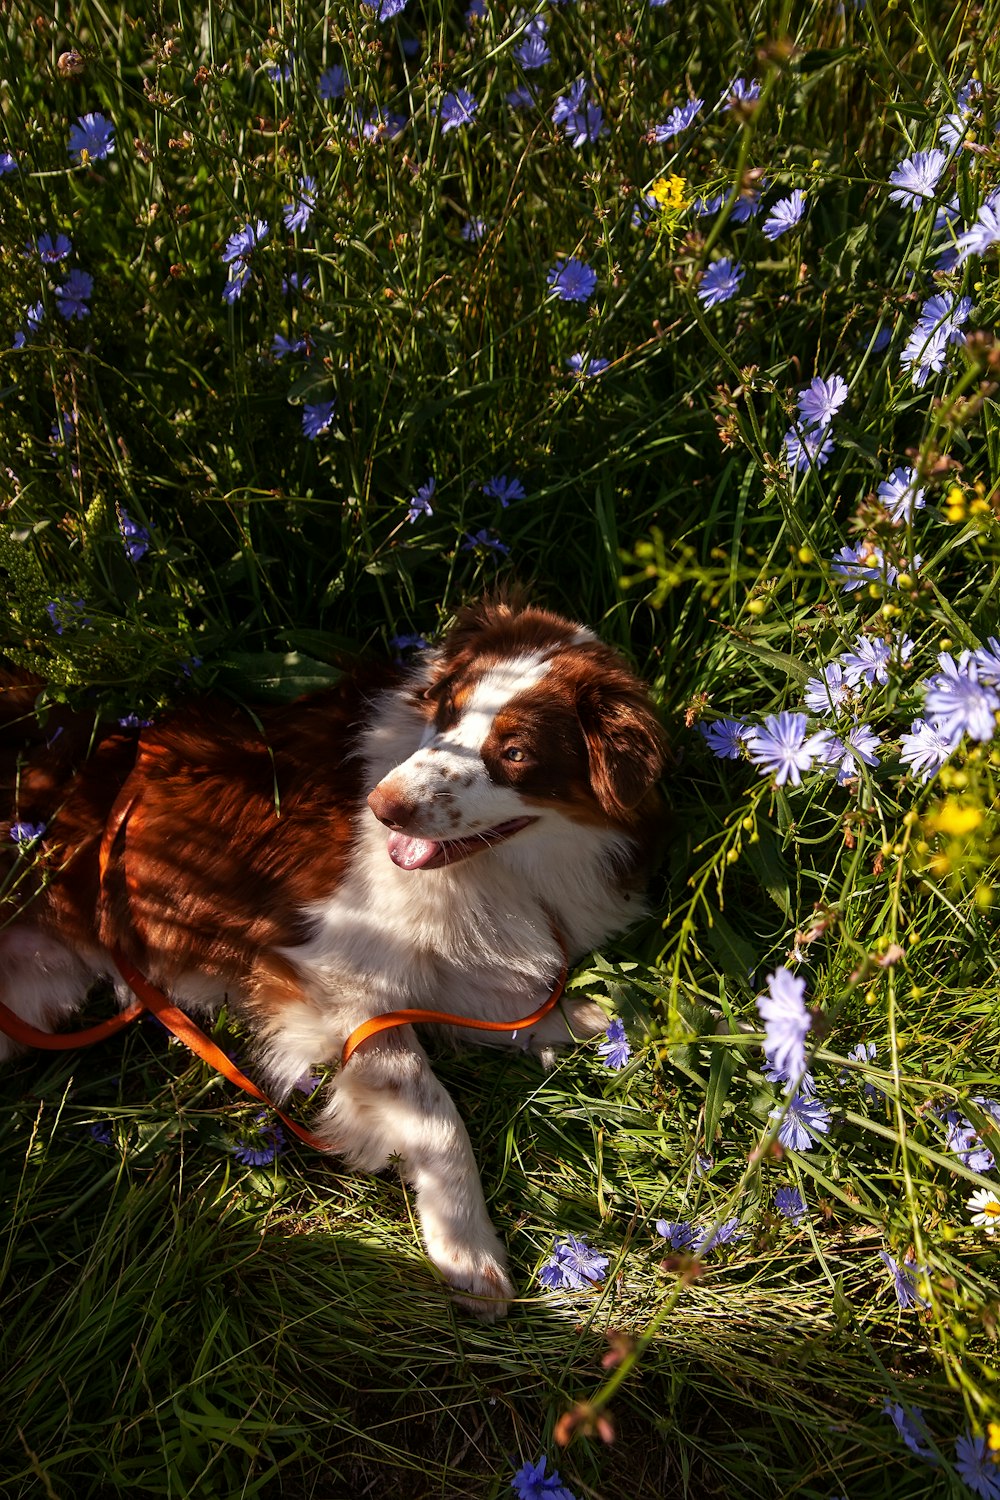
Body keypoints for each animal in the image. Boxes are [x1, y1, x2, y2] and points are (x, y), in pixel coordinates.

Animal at [1, 594, 671, 1314]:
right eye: (447, 713)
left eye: (515, 752)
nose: (381, 808)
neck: (502, 866)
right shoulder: (335, 979)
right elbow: (435, 1113)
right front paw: (467, 1248)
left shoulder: (454, 965)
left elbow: (543, 1011)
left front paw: (633, 1029)